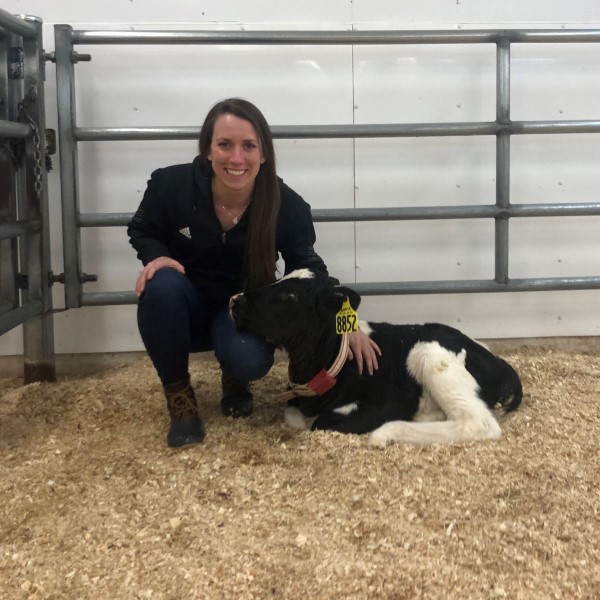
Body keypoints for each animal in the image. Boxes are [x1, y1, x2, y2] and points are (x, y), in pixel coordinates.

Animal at [230, 270, 520, 448]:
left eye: (290, 296)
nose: (235, 299)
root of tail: (501, 364)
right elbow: (294, 415)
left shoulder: (389, 401)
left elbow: (322, 422)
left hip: (430, 356)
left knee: (477, 423)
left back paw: (386, 433)